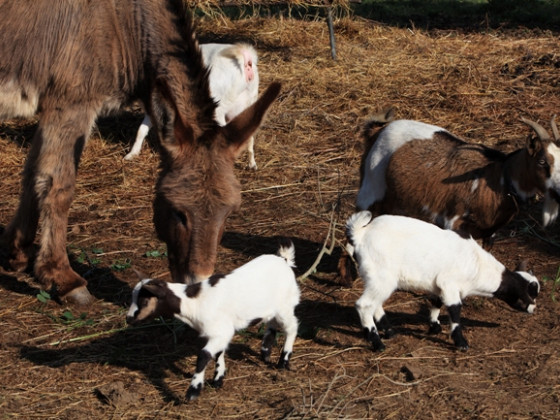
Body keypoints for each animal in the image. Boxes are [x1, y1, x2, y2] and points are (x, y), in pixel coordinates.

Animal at [124, 42, 260, 167]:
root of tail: (246, 62)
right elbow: (141, 130)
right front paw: (131, 155)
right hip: (246, 104)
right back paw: (252, 164)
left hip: (220, 108)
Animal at [125, 240, 300, 400]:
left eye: (144, 302)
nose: (128, 319)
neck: (193, 302)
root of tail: (283, 260)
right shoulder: (218, 332)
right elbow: (218, 353)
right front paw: (218, 379)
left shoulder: (221, 330)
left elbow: (203, 356)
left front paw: (193, 391)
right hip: (272, 308)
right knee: (272, 324)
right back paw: (265, 352)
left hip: (285, 305)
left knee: (292, 327)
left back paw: (283, 361)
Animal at [348, 210, 540, 352]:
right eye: (528, 295)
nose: (533, 309)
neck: (477, 264)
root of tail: (361, 234)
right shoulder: (450, 284)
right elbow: (455, 310)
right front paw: (461, 343)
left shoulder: (439, 285)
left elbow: (436, 302)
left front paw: (435, 327)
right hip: (382, 276)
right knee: (364, 305)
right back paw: (377, 343)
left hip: (376, 278)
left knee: (375, 303)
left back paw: (389, 331)